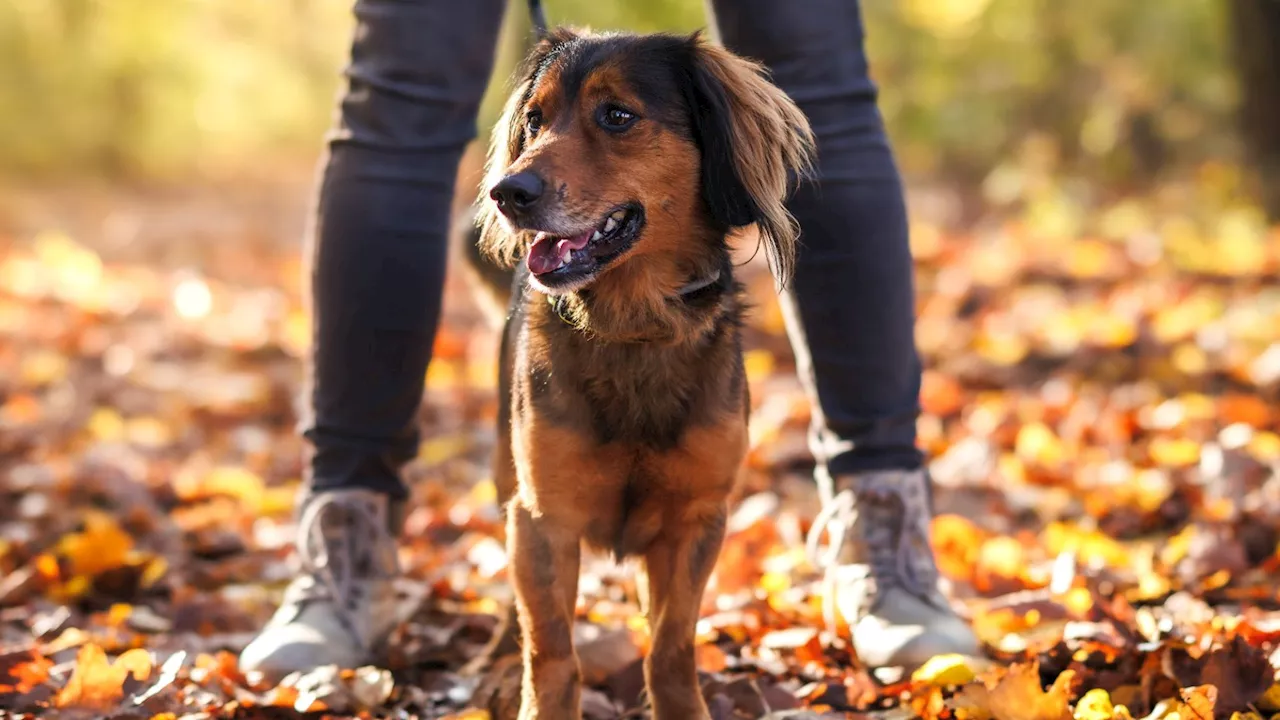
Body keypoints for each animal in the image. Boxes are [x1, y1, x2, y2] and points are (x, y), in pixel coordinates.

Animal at [465, 28, 814, 717]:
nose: (508, 193)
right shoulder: (544, 518)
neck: (633, 326)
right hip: (506, 475)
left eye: (618, 116)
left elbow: (671, 646)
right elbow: (550, 650)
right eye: (534, 120)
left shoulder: (696, 521)